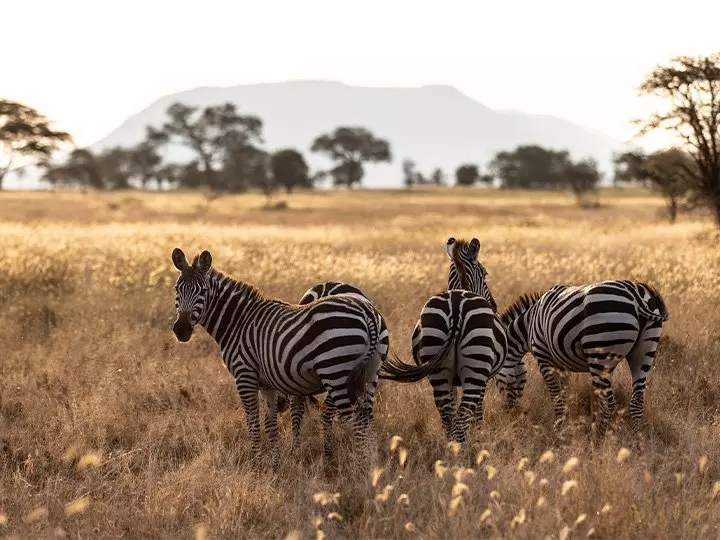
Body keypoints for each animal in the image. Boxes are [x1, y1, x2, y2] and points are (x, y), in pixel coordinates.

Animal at [171, 249, 445, 468]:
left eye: (202, 291)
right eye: (176, 289)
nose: (181, 330)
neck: (239, 321)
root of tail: (368, 313)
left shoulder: (244, 375)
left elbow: (252, 421)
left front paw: (256, 460)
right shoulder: (267, 382)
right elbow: (271, 422)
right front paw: (276, 462)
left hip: (336, 371)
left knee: (353, 420)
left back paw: (357, 470)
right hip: (371, 372)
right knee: (367, 418)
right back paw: (372, 464)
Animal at [409, 237, 509, 443]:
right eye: (485, 274)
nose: (495, 306)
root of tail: (456, 310)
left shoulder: (452, 379)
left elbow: (453, 405)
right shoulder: (484, 379)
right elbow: (477, 412)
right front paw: (478, 433)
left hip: (438, 369)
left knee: (447, 414)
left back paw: (451, 448)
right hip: (476, 368)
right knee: (463, 415)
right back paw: (463, 449)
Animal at [500, 280, 669, 435]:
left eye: (496, 379)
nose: (509, 413)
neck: (529, 325)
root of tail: (637, 296)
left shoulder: (543, 357)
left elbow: (556, 396)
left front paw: (558, 430)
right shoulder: (562, 365)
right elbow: (563, 395)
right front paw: (563, 425)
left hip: (600, 354)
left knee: (609, 404)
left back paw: (599, 439)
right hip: (644, 352)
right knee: (637, 402)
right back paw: (635, 442)